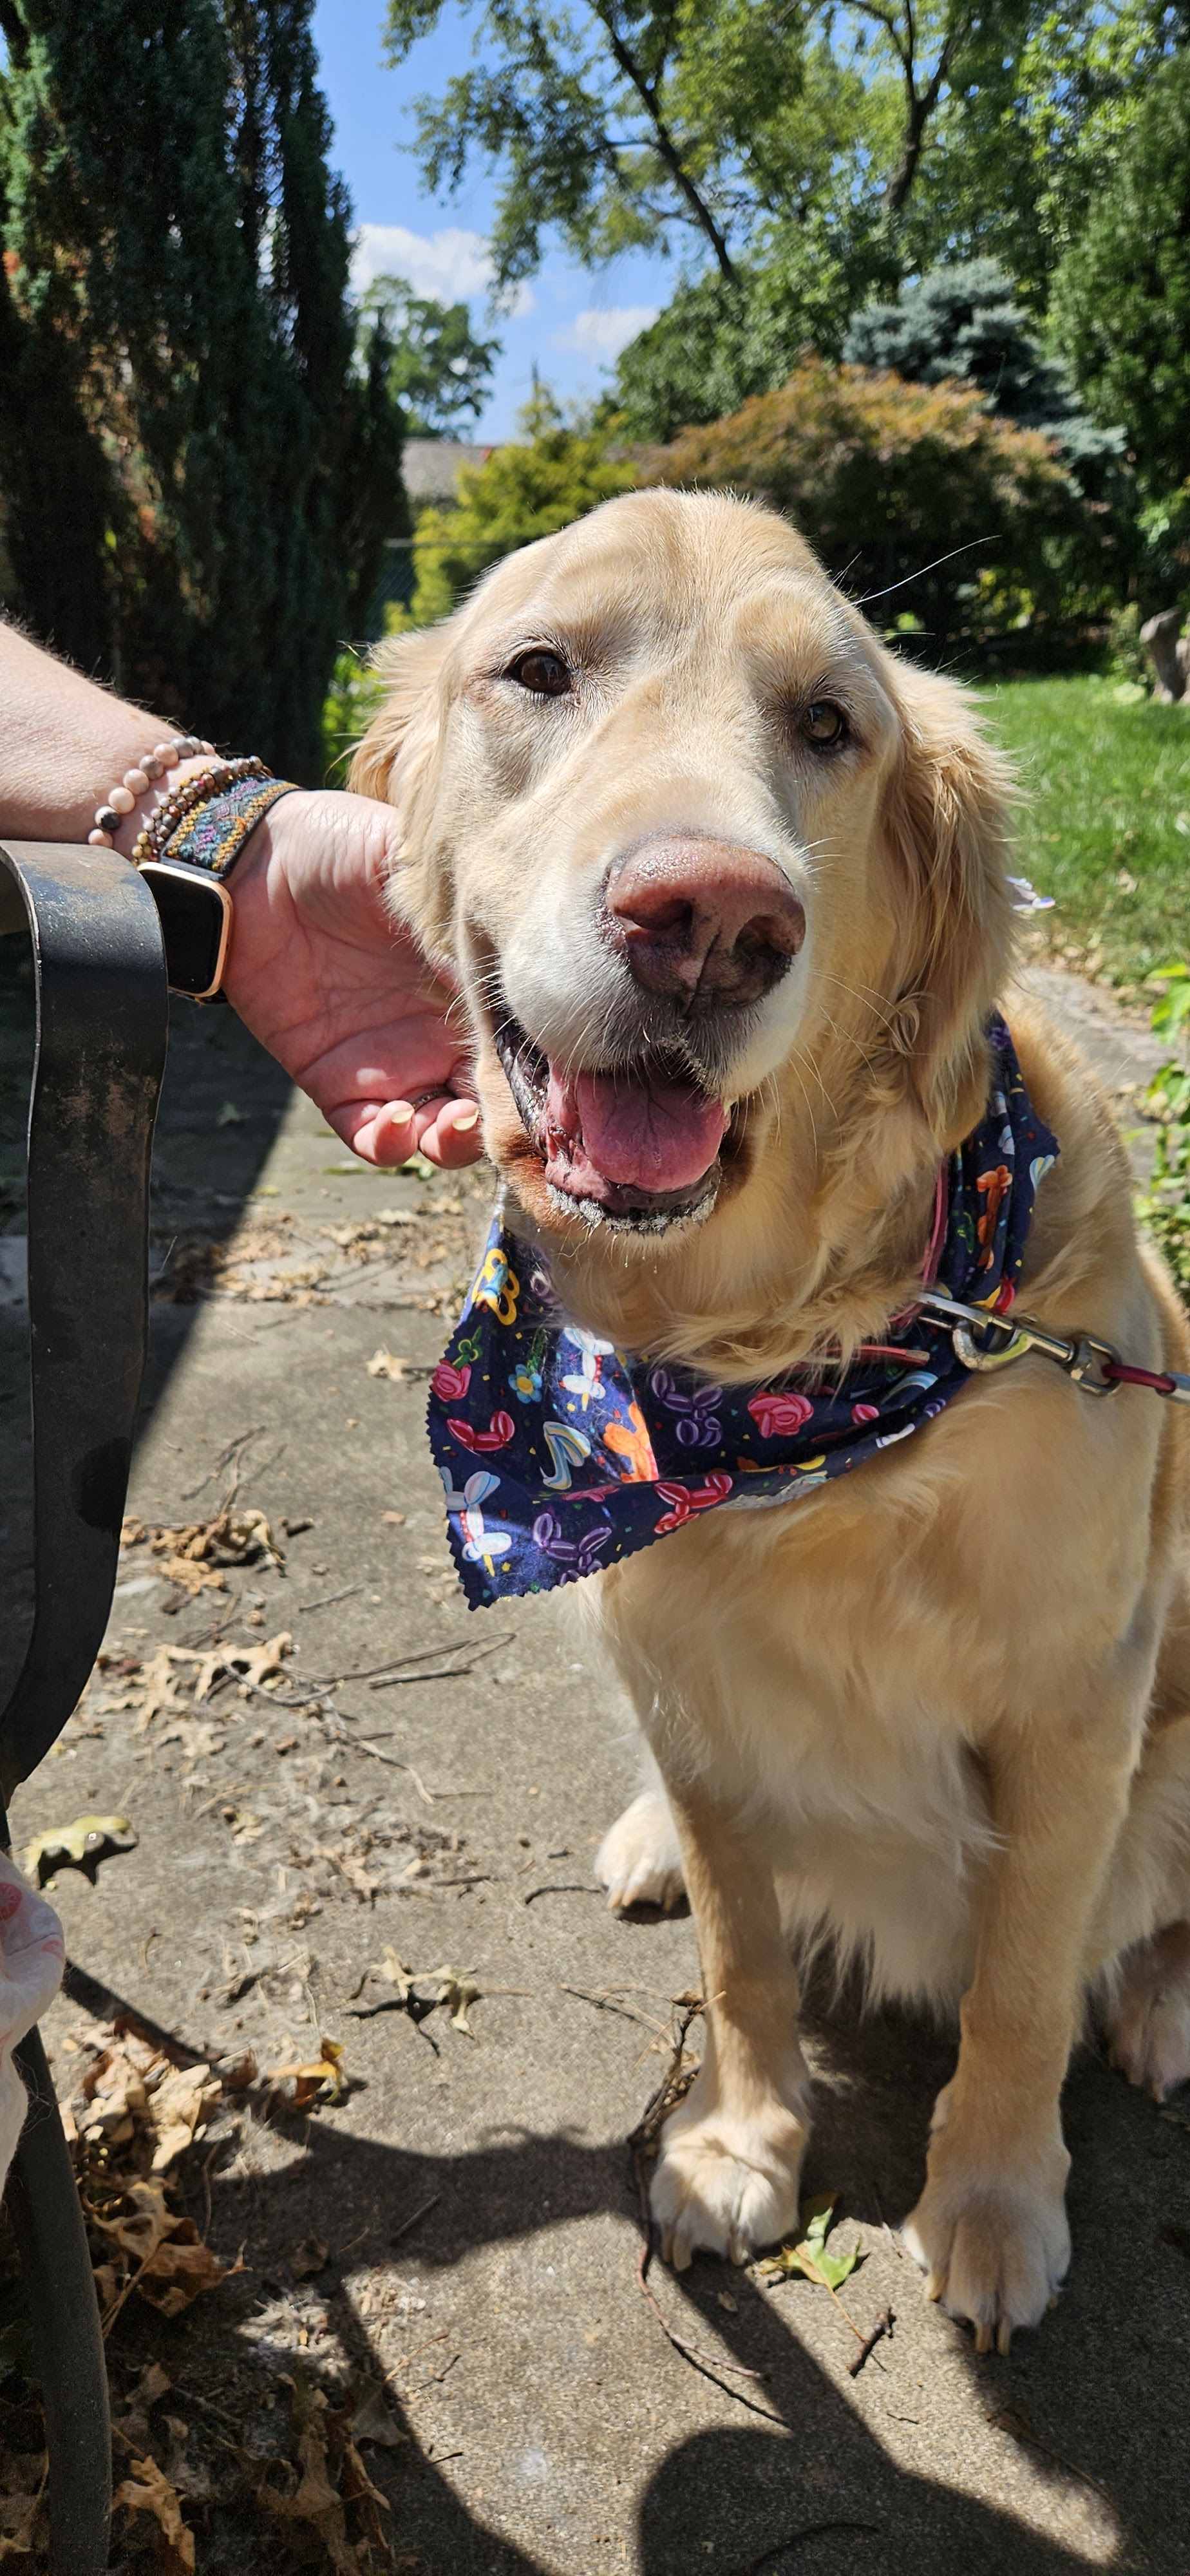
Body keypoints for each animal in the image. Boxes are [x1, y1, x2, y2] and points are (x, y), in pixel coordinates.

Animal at [354, 488, 1190, 2353]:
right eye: (539, 668)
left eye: (829, 726)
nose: (714, 919)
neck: (782, 1369)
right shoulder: (687, 1678)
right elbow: (744, 1955)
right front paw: (744, 2142)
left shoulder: (1075, 1704)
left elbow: (1024, 1983)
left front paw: (994, 2199)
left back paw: (1168, 2005)